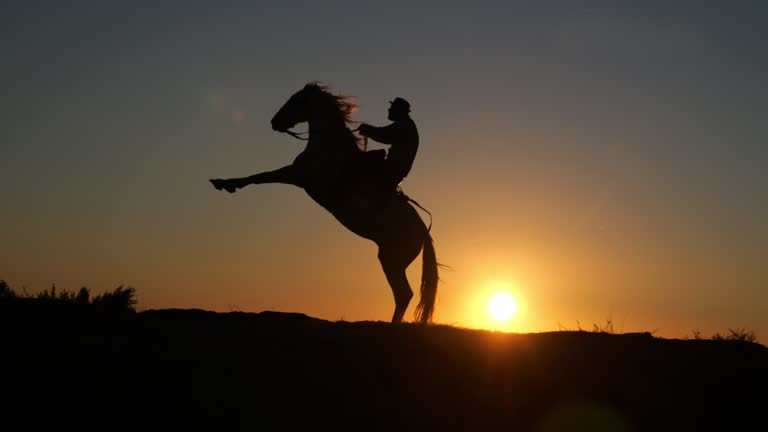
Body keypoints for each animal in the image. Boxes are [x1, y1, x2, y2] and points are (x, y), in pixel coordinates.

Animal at [208, 82, 438, 324]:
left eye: (296, 100)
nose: (274, 122)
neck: (328, 145)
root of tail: (423, 231)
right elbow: (262, 176)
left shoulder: (297, 175)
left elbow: (261, 176)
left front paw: (225, 183)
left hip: (391, 260)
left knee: (403, 294)